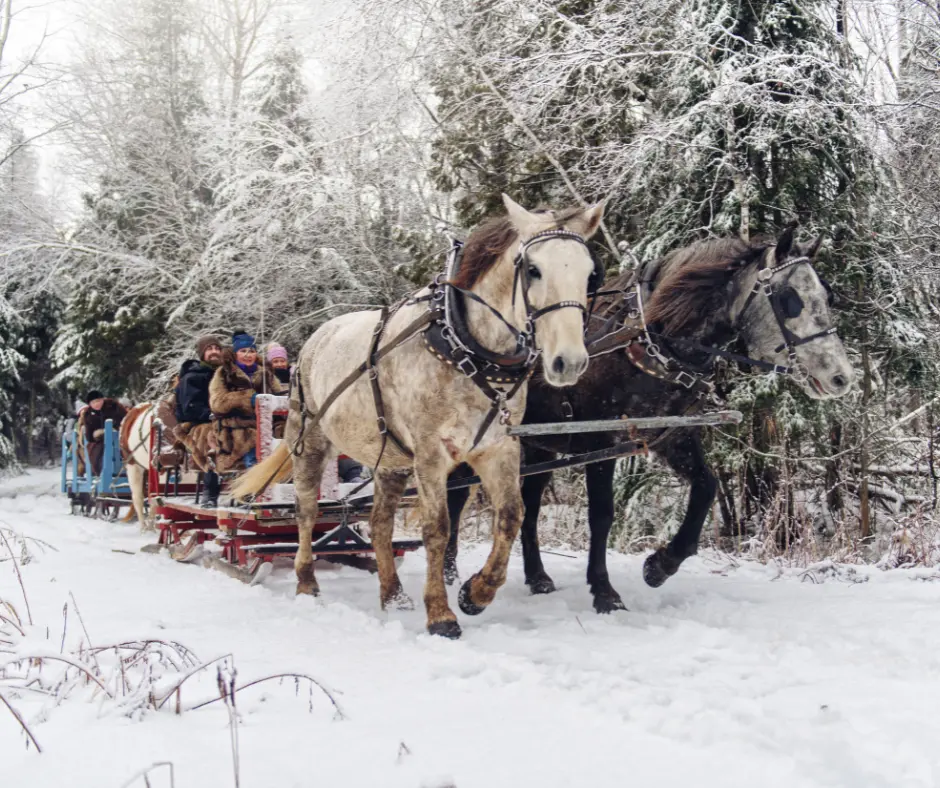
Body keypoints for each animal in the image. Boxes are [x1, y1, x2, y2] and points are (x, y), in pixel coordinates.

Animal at [231, 197, 604, 640]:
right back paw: (307, 583)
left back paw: (393, 594)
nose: (569, 362)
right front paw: (441, 613)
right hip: (310, 440)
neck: (468, 348)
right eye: (533, 269)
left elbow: (511, 517)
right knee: (306, 512)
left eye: (590, 273)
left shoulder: (497, 447)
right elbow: (437, 528)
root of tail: (316, 338)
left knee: (379, 523)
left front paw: (476, 593)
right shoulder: (431, 452)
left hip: (389, 458)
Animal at [446, 225, 852, 612]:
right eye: (790, 300)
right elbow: (602, 514)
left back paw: (537, 577)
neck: (651, 340)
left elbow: (706, 487)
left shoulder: (672, 436)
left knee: (529, 504)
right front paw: (605, 592)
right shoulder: (601, 440)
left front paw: (661, 565)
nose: (841, 377)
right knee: (455, 495)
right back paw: (449, 569)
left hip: (541, 444)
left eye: (829, 297)